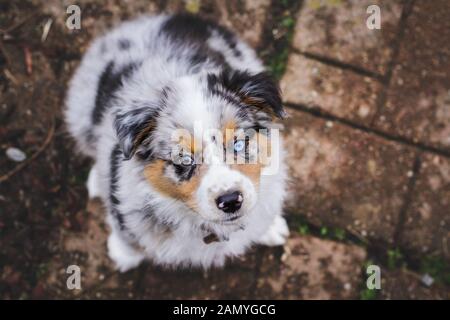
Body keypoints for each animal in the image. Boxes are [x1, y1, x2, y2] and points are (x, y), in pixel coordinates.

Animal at [64, 13, 288, 272]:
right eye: (184, 160)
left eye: (239, 144)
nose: (231, 201)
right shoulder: (125, 207)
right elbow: (127, 235)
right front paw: (123, 255)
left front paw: (270, 228)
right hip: (81, 108)